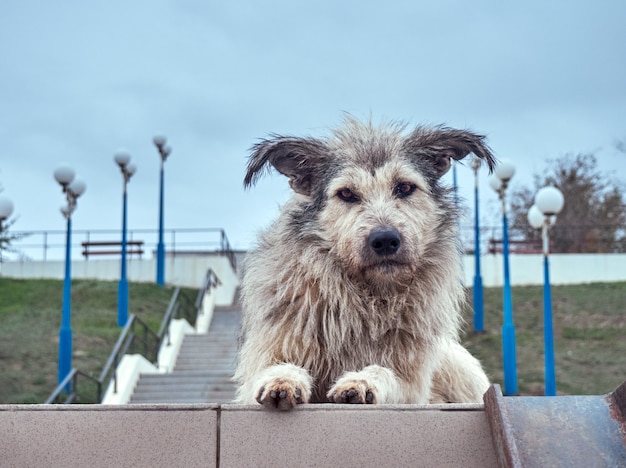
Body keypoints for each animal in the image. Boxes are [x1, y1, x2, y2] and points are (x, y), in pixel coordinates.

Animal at [233, 118, 492, 410]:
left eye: (405, 187)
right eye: (346, 193)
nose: (385, 240)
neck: (365, 296)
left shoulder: (412, 386)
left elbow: (385, 371)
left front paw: (362, 382)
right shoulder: (267, 353)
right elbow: (273, 367)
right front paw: (281, 379)